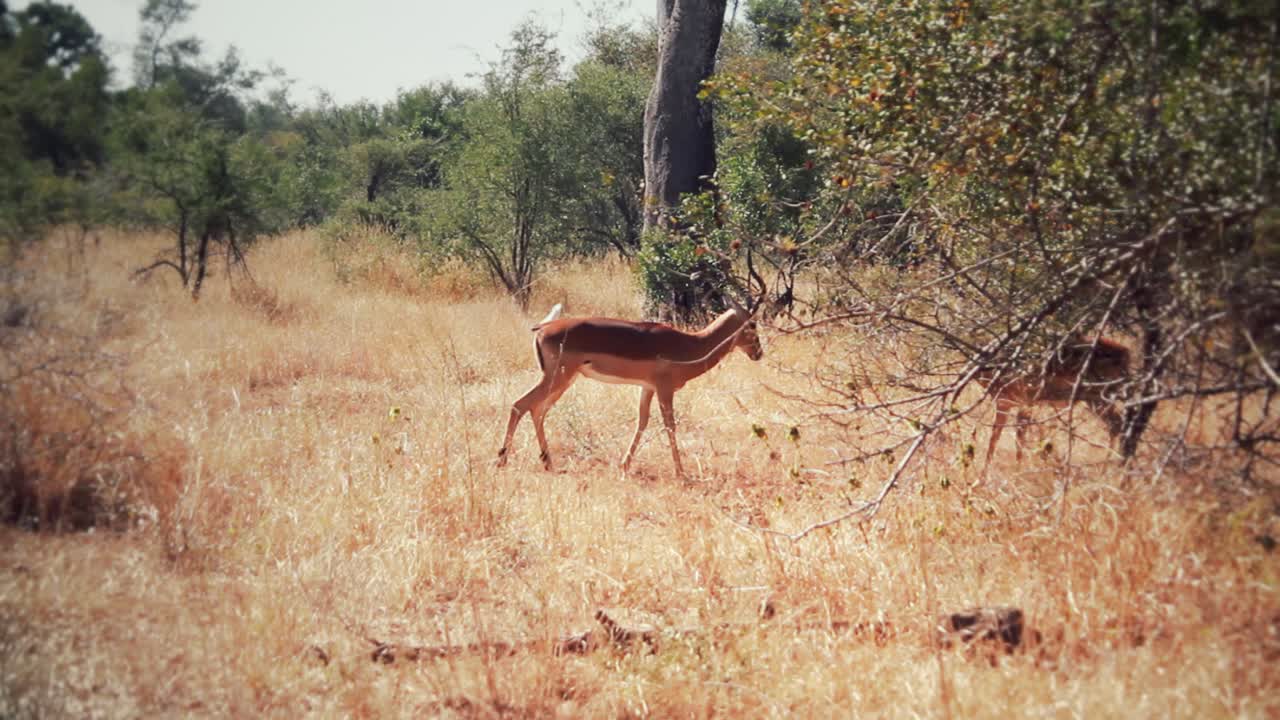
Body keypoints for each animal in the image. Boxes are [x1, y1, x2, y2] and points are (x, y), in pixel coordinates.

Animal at [496, 301, 764, 477]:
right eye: (752, 323)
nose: (759, 353)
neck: (690, 345)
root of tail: (542, 328)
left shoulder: (648, 388)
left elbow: (642, 422)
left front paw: (624, 466)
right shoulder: (665, 389)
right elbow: (670, 426)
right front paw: (681, 473)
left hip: (562, 382)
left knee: (537, 410)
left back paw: (548, 463)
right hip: (557, 379)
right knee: (520, 405)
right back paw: (502, 460)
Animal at [976, 336, 1130, 481]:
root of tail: (1124, 353)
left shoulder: (1013, 403)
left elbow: (1005, 440)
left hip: (1098, 398)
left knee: (1117, 426)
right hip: (1095, 401)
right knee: (1118, 426)